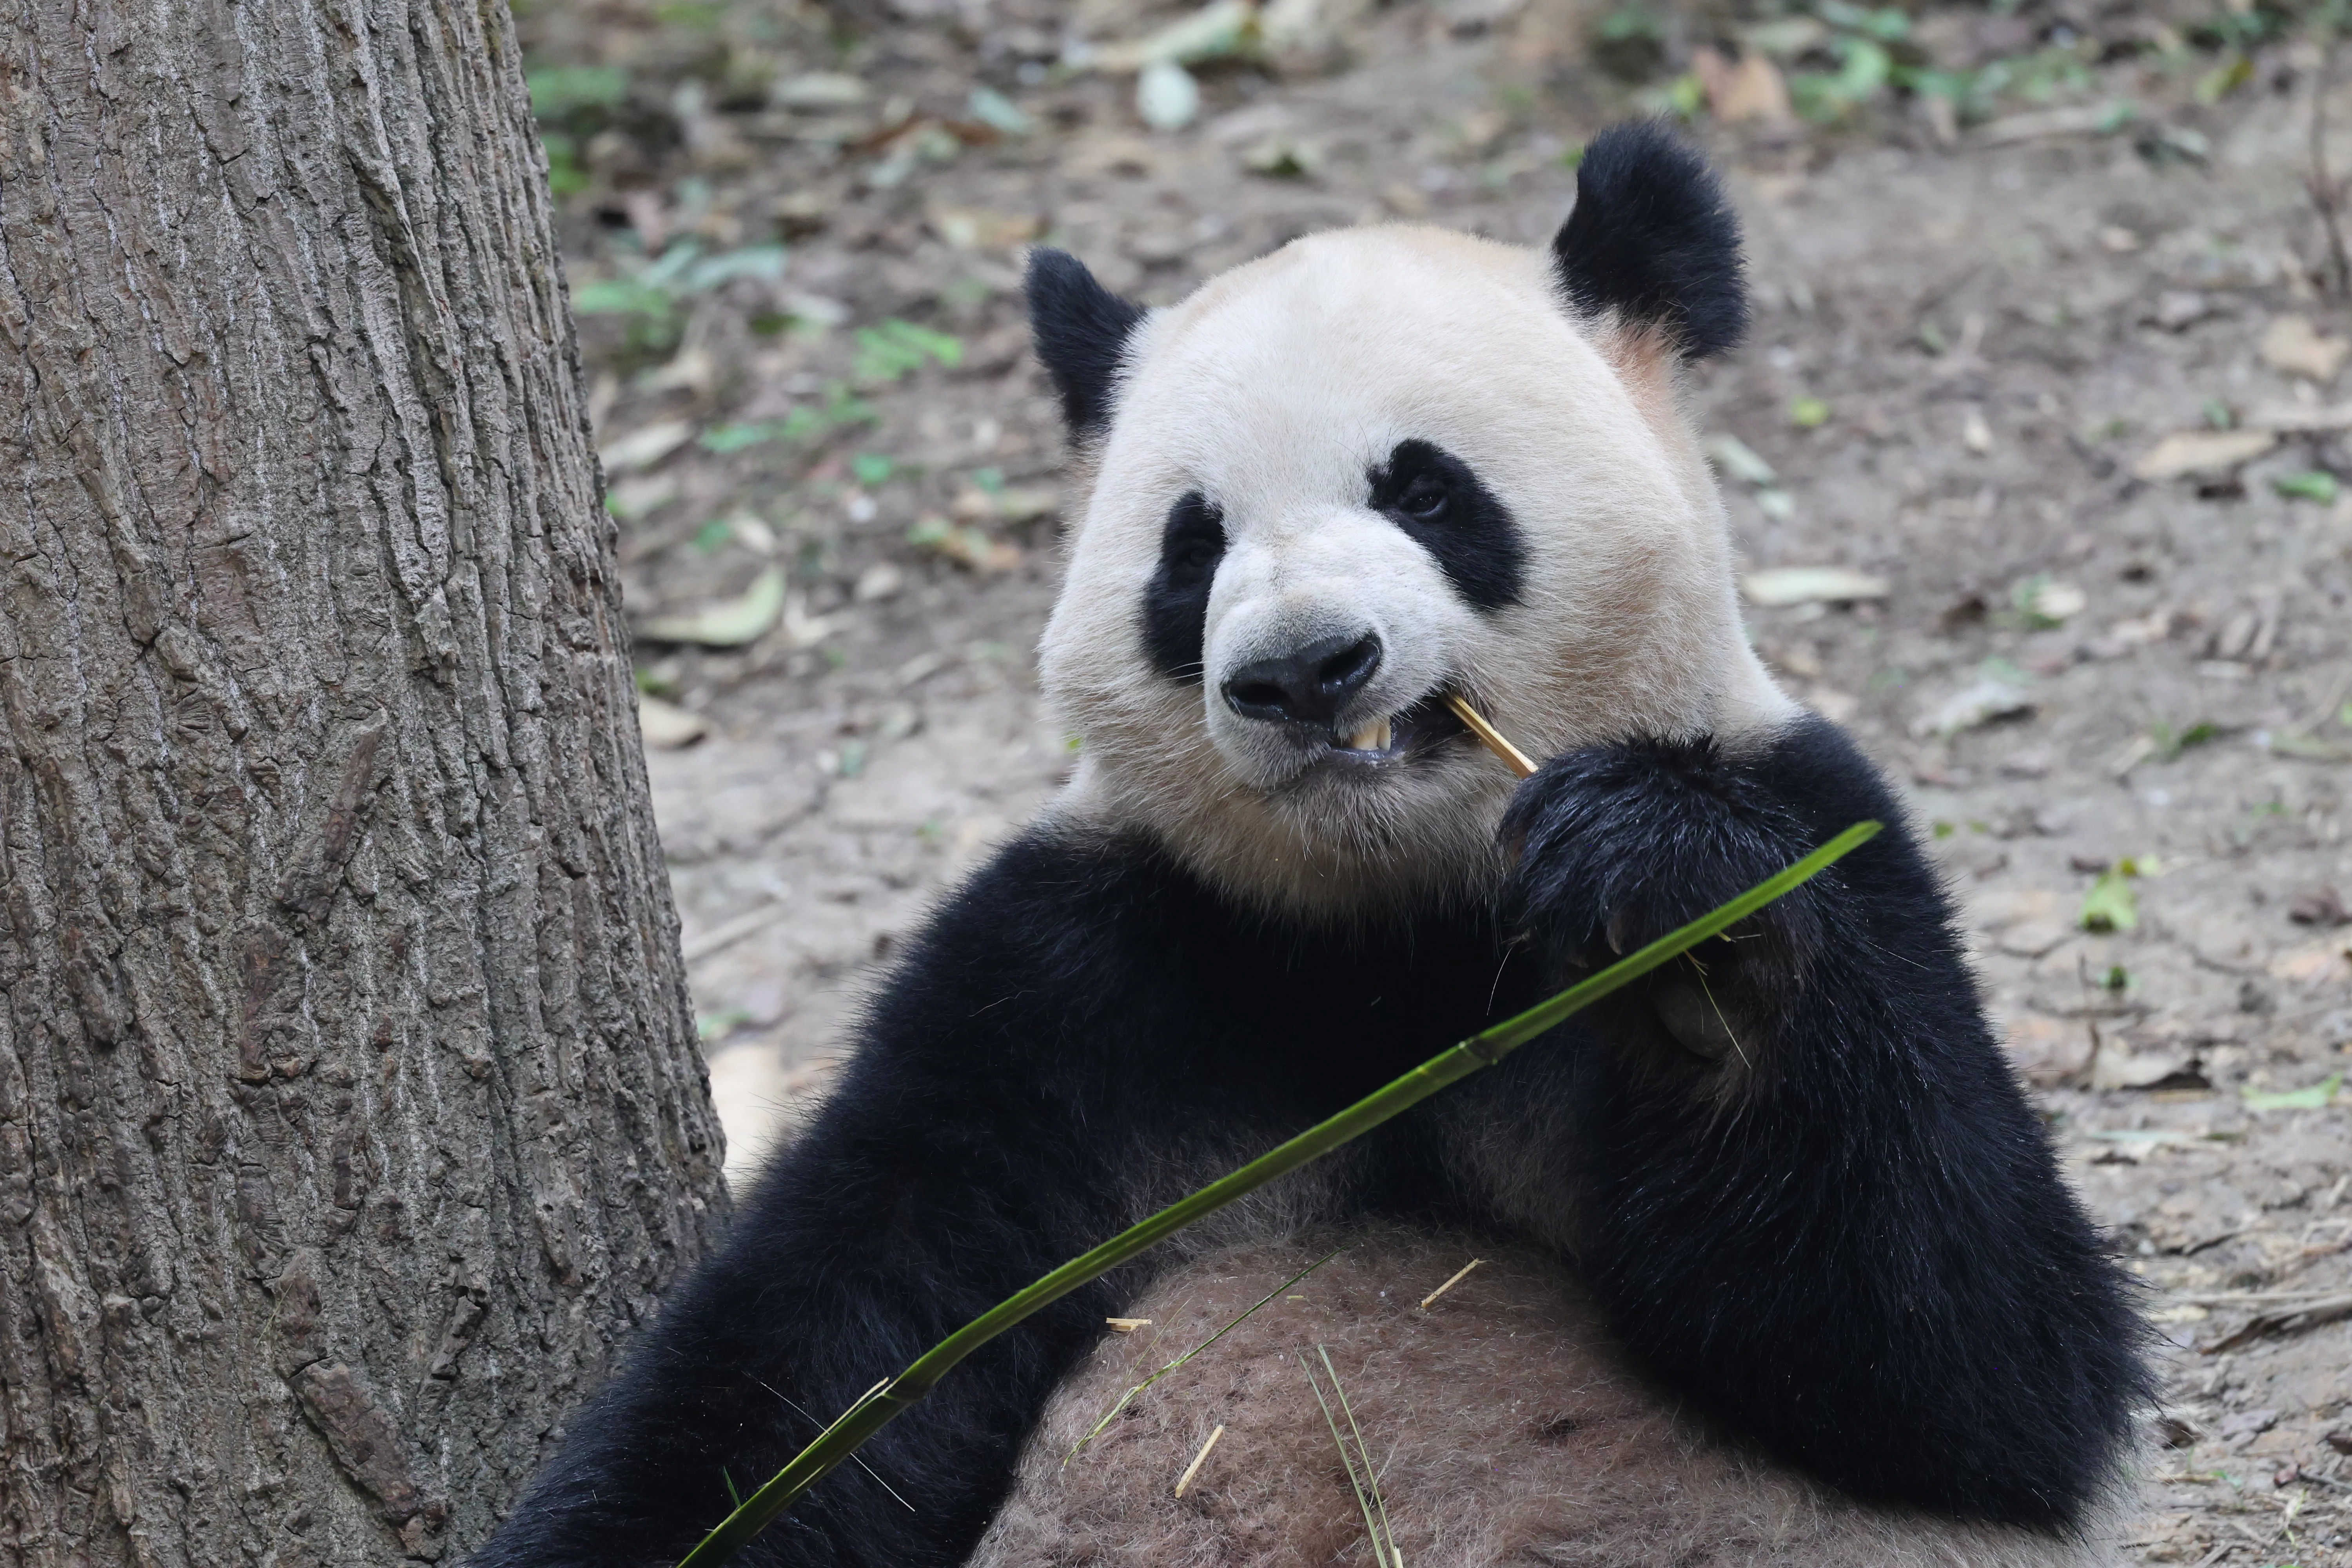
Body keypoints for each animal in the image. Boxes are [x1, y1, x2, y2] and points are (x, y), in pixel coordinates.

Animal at [477, 122, 2148, 1568]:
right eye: (1192, 545)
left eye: (1425, 488)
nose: (1302, 670)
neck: (1395, 915)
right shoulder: (1079, 971)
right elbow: (830, 1357)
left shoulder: (1825, 820)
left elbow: (1977, 1367)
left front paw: (1678, 925)